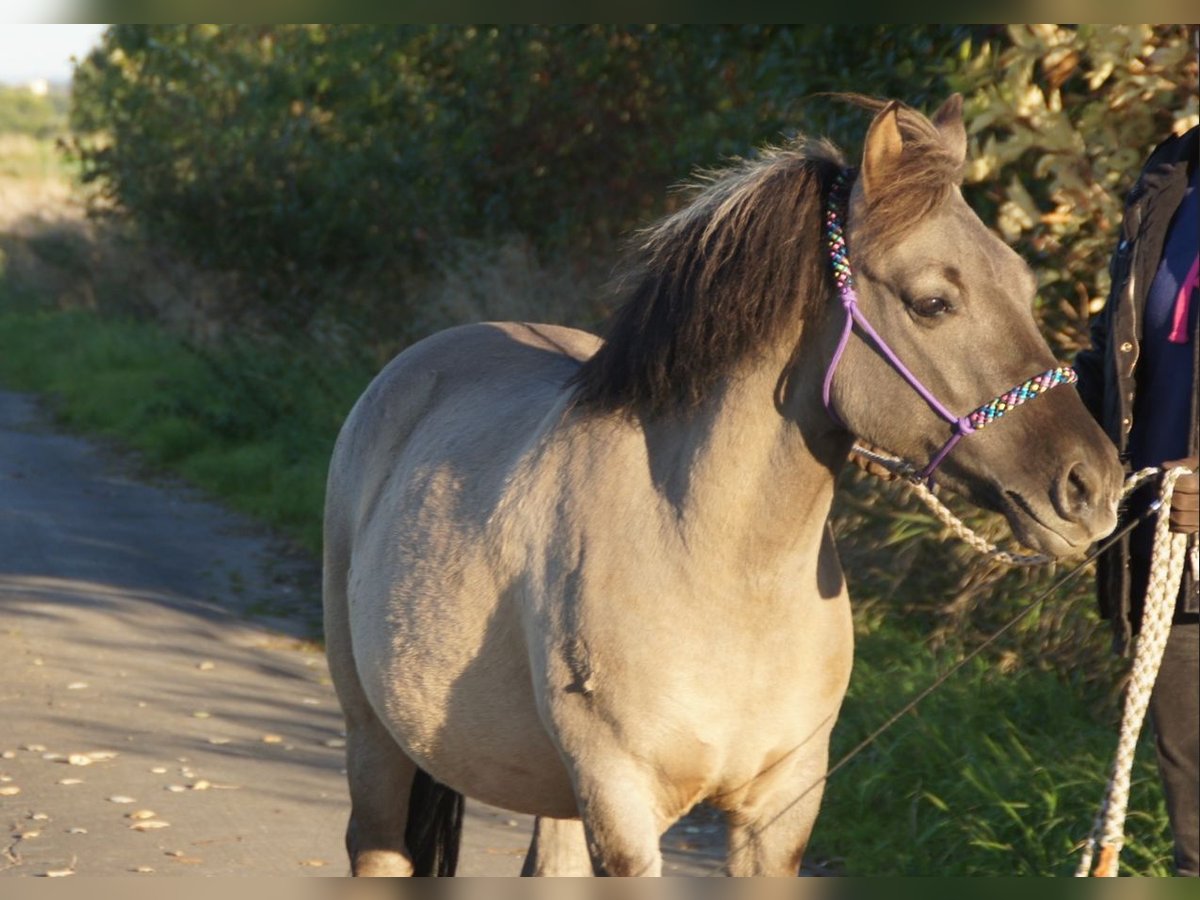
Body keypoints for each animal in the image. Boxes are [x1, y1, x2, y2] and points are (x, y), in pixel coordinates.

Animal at [321, 95, 1123, 878]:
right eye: (933, 303)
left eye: (1021, 284)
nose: (1093, 486)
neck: (717, 564)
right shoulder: (623, 808)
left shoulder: (780, 814)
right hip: (377, 742)